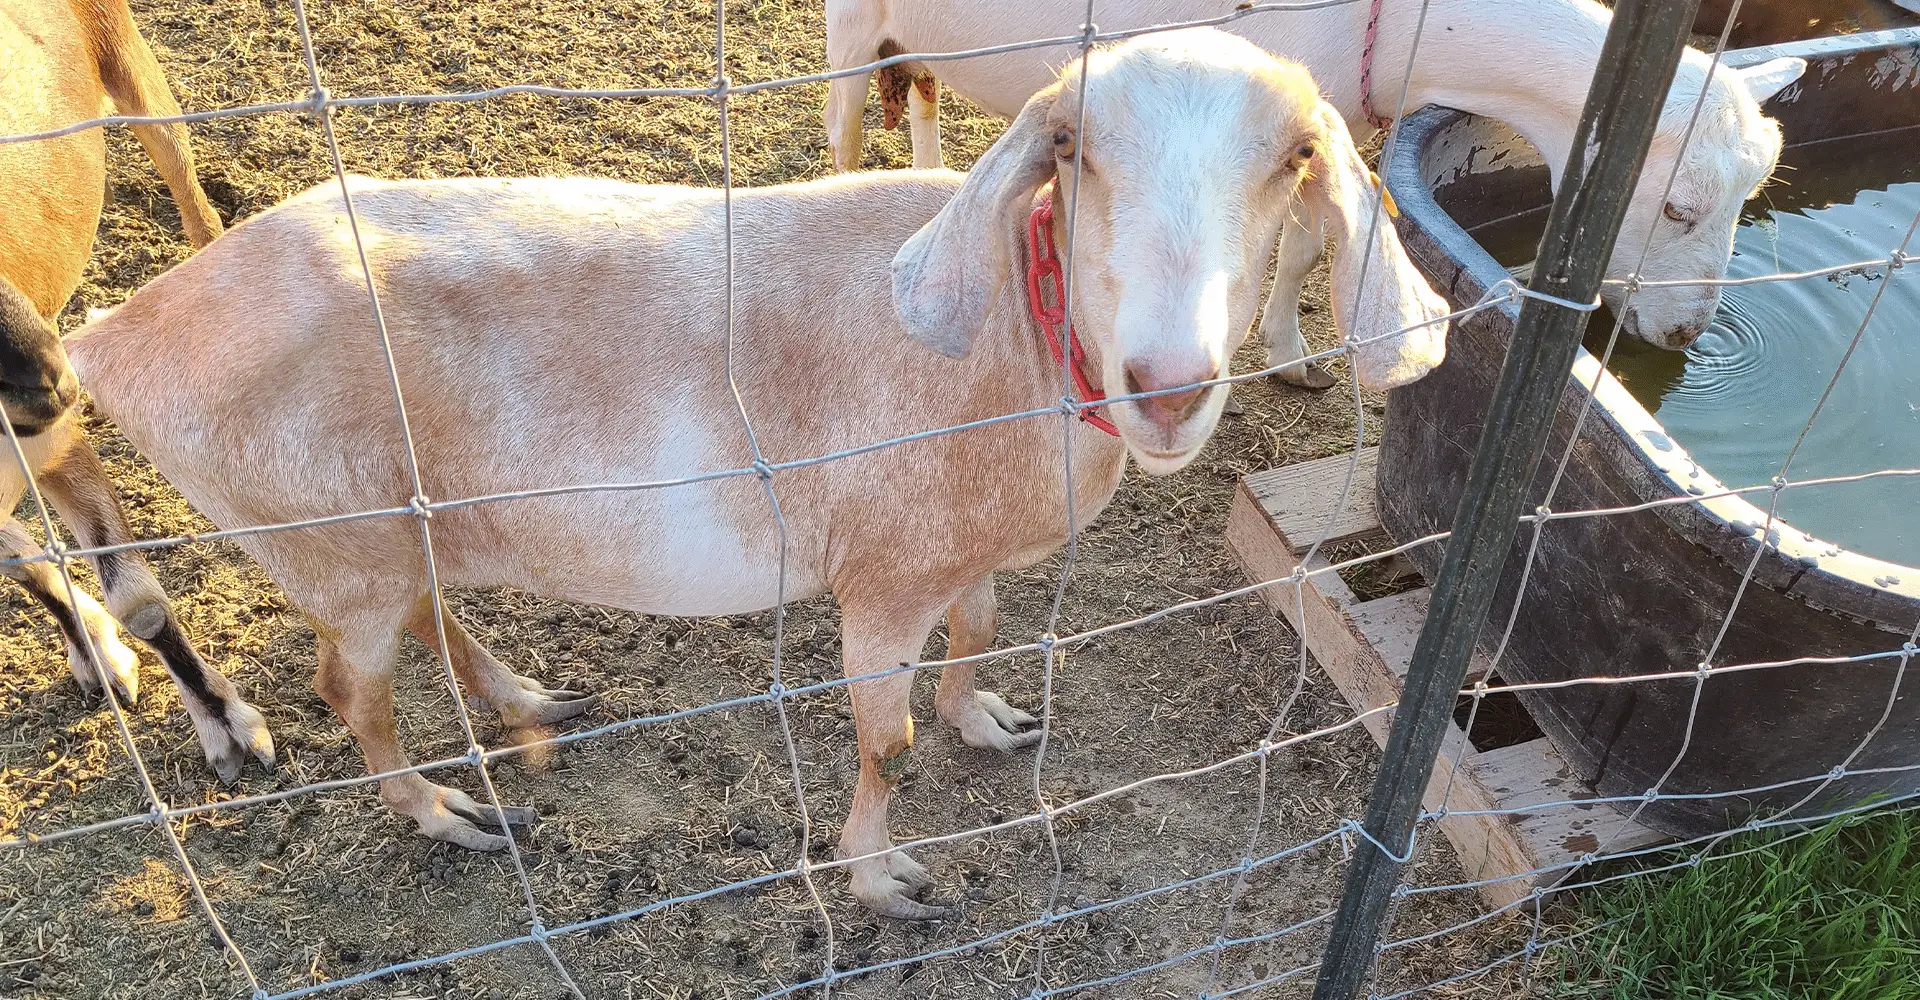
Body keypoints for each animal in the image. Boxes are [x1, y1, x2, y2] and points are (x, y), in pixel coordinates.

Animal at [0, 0, 271, 781]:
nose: (53, 382)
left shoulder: (57, 447)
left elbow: (141, 601)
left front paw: (228, 726)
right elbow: (28, 568)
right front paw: (93, 652)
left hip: (129, 60)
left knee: (190, 191)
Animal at [67, 29, 1448, 917]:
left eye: (1295, 157)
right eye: (1073, 146)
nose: (1166, 382)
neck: (1010, 335)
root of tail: (119, 334)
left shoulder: (953, 550)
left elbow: (984, 630)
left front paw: (990, 720)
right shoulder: (879, 579)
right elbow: (887, 740)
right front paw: (885, 879)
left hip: (400, 523)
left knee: (428, 612)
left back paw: (529, 699)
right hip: (327, 534)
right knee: (349, 690)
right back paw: (450, 815)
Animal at [824, 0, 1808, 385]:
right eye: (1677, 206)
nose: (1685, 336)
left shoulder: (1322, 123)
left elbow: (1305, 243)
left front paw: (1289, 353)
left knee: (919, 86)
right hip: (850, 24)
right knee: (844, 115)